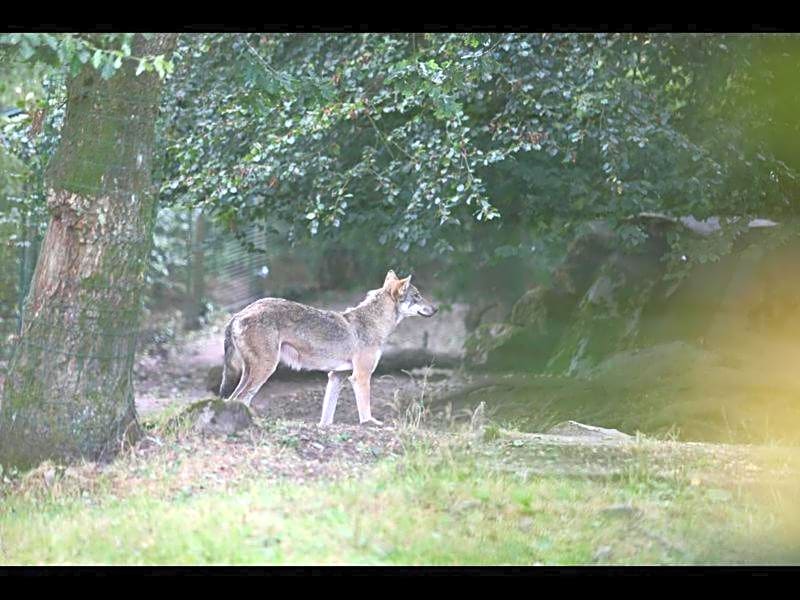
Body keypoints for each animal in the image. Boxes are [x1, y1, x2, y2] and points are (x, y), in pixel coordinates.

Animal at [219, 270, 438, 424]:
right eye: (417, 296)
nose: (436, 308)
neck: (373, 324)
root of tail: (237, 314)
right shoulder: (360, 376)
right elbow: (365, 411)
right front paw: (370, 423)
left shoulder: (335, 377)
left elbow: (326, 418)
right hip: (265, 369)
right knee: (239, 398)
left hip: (252, 372)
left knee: (234, 399)